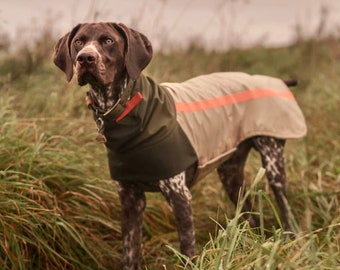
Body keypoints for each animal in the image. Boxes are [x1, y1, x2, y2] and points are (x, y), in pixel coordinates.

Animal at [52, 22, 306, 268]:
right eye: (78, 42)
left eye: (108, 40)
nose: (85, 58)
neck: (128, 108)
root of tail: (276, 81)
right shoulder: (130, 200)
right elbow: (130, 254)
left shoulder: (179, 195)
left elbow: (187, 251)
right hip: (231, 174)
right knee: (250, 217)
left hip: (273, 164)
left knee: (285, 212)